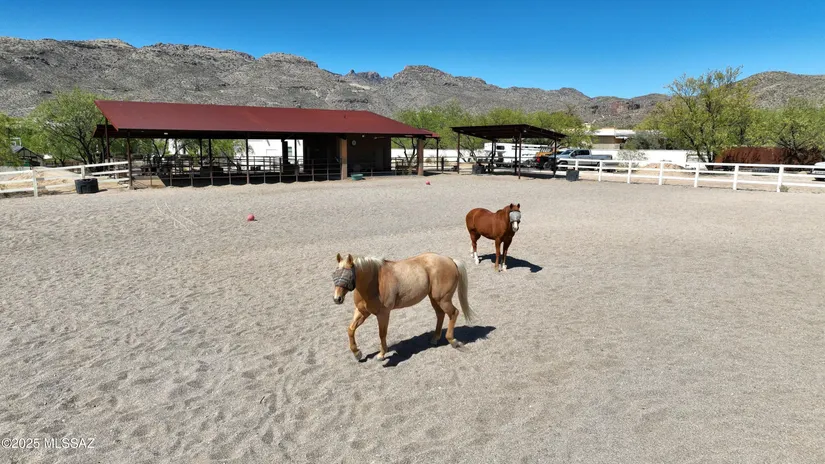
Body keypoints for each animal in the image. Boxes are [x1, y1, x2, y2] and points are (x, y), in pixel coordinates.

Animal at [331, 252, 475, 361]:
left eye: (347, 275)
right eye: (334, 274)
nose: (337, 299)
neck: (375, 281)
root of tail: (450, 260)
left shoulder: (383, 314)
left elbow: (382, 334)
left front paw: (381, 354)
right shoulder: (362, 311)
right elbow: (350, 329)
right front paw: (357, 353)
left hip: (443, 300)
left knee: (454, 313)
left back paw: (453, 341)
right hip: (434, 299)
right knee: (440, 314)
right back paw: (435, 339)